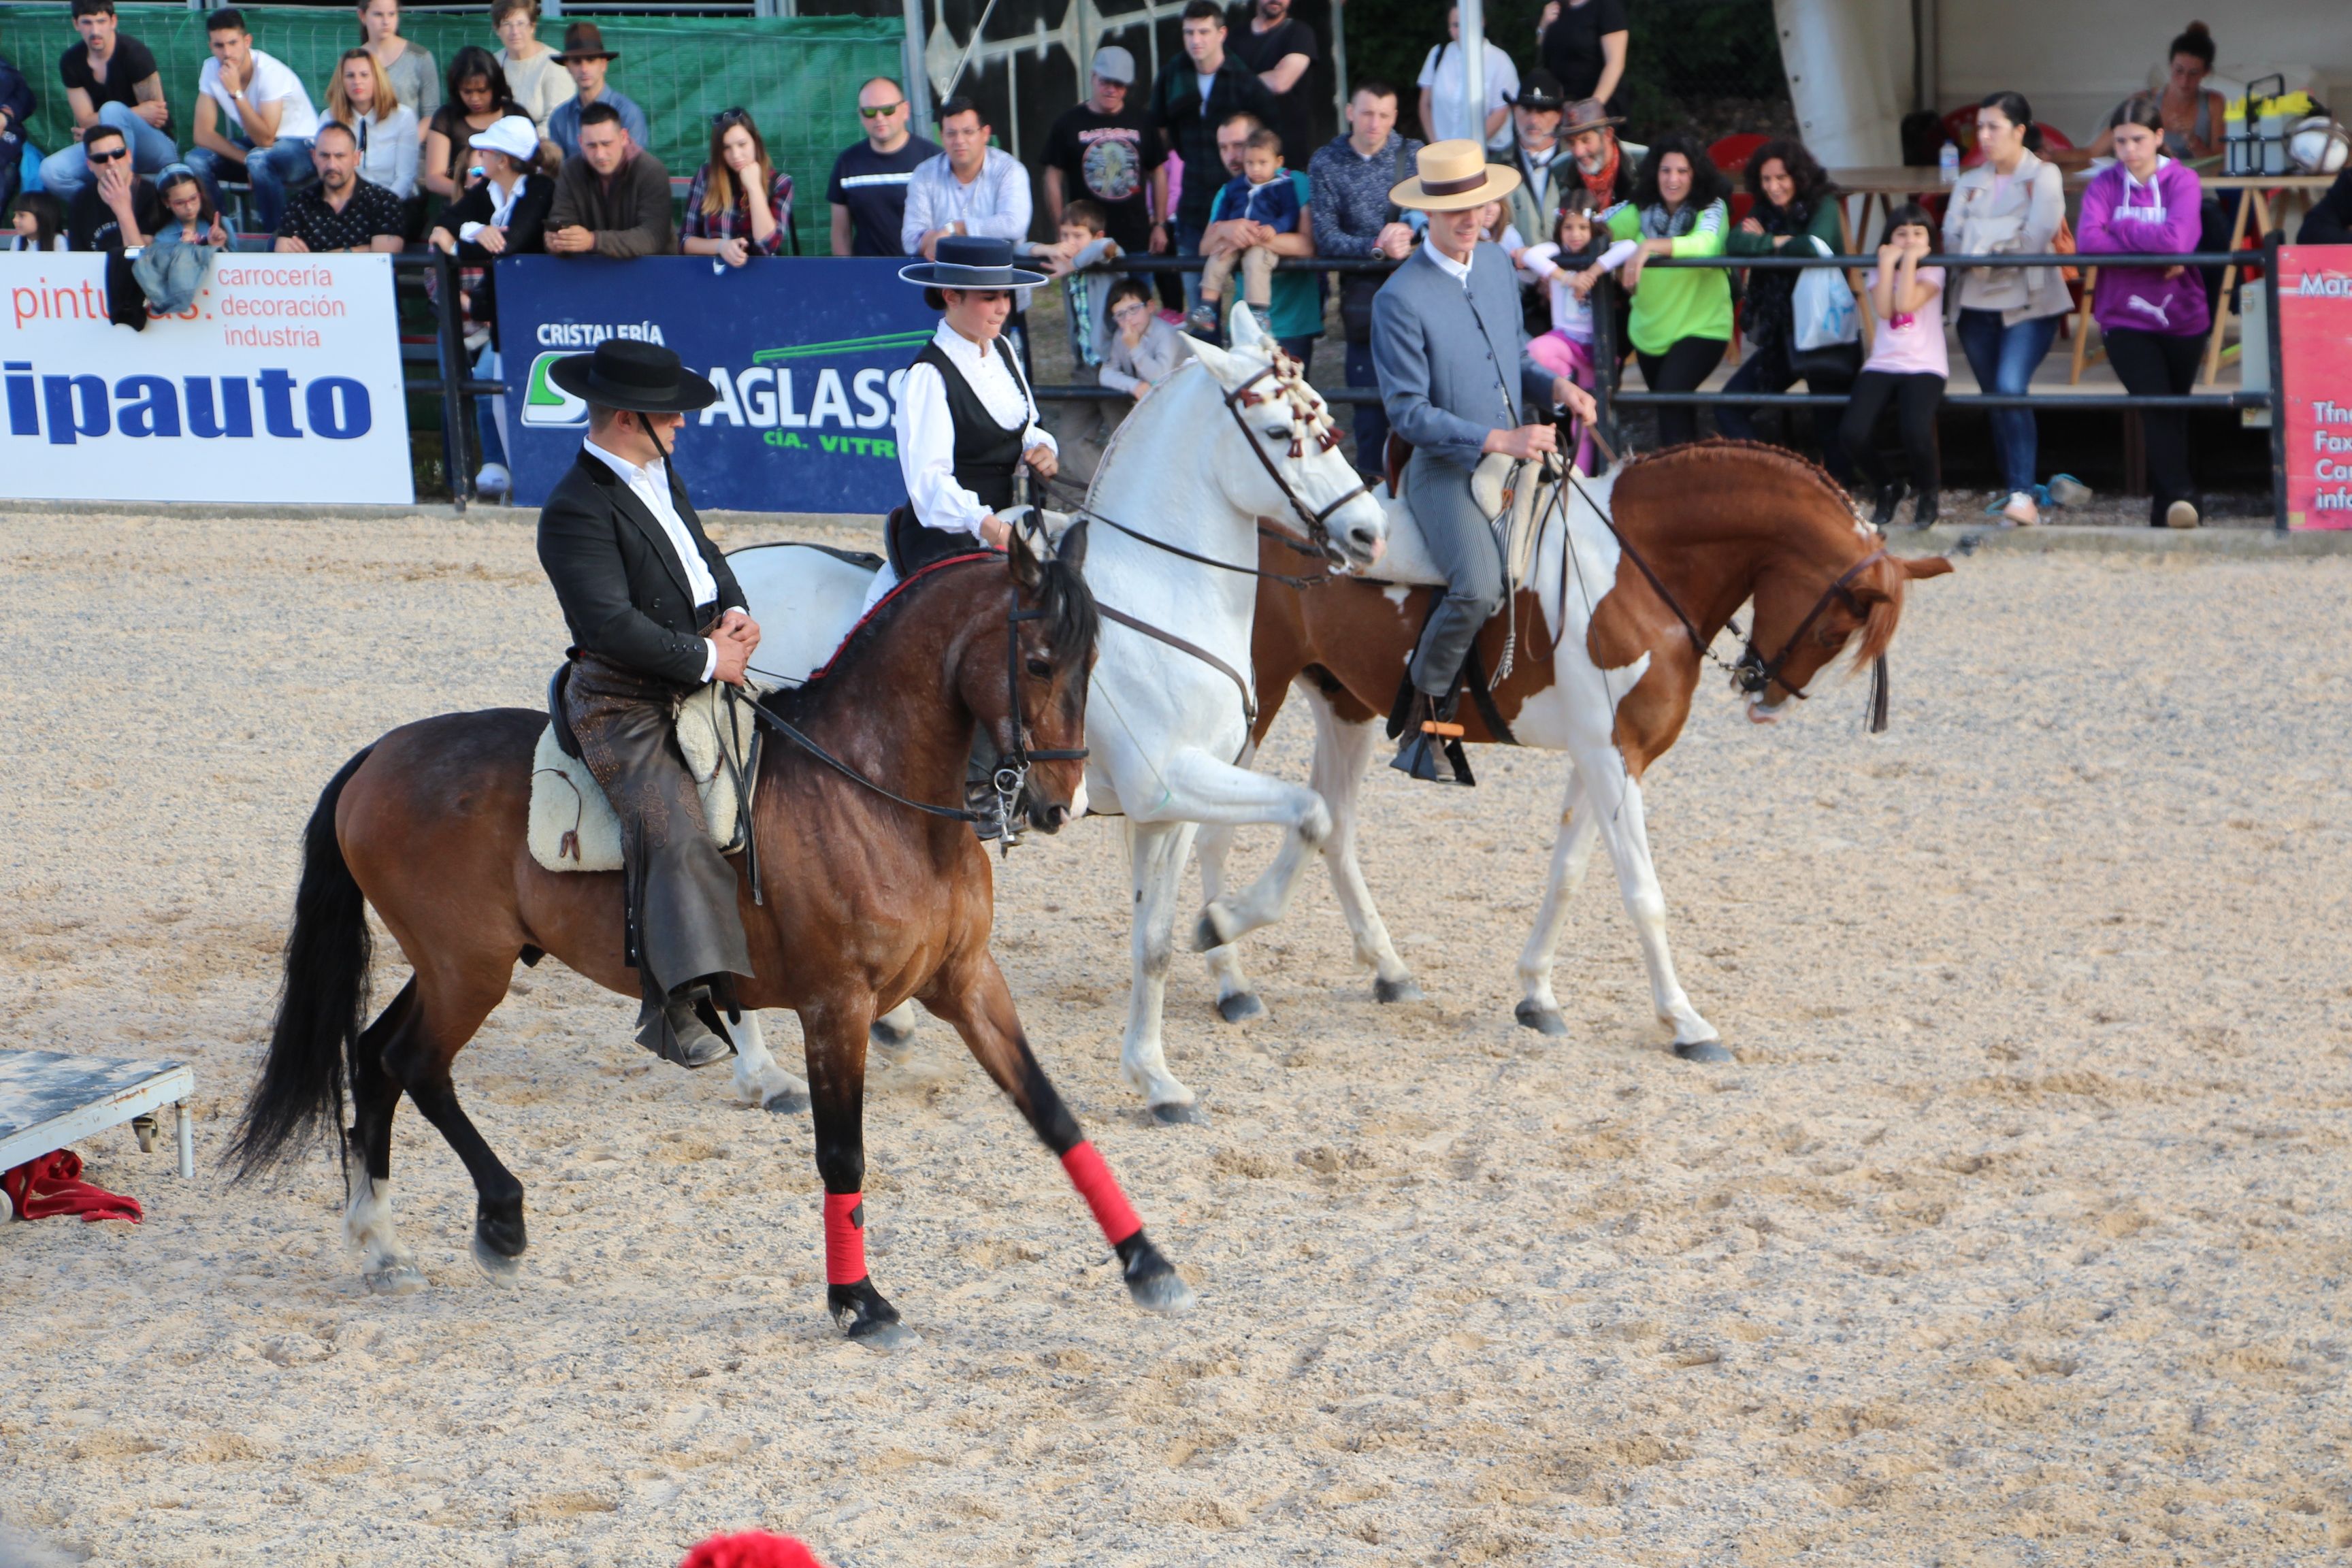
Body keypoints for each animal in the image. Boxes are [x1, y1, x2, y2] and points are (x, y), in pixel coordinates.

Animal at [231, 540, 1194, 1354]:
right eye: (1037, 663)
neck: (876, 794)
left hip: (450, 967)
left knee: (374, 1058)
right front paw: (860, 1303)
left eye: (1094, 665)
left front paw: (1149, 1265)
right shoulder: (835, 1006)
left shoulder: (966, 981)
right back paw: (499, 1221)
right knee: (414, 1064)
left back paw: (379, 1244)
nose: (1060, 805)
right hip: (469, 970)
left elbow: (1050, 1111)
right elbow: (841, 1153)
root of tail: (378, 756)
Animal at [1194, 439, 1947, 1053]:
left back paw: (1387, 969)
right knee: (1215, 833)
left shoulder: (1607, 755)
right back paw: (1231, 977)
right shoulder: (1611, 756)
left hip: (1343, 703)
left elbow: (1570, 874)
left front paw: (1537, 995)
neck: (1637, 568)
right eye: (1833, 630)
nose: (1764, 697)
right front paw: (1684, 1022)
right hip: (1257, 702)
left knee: (1335, 828)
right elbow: (1643, 891)